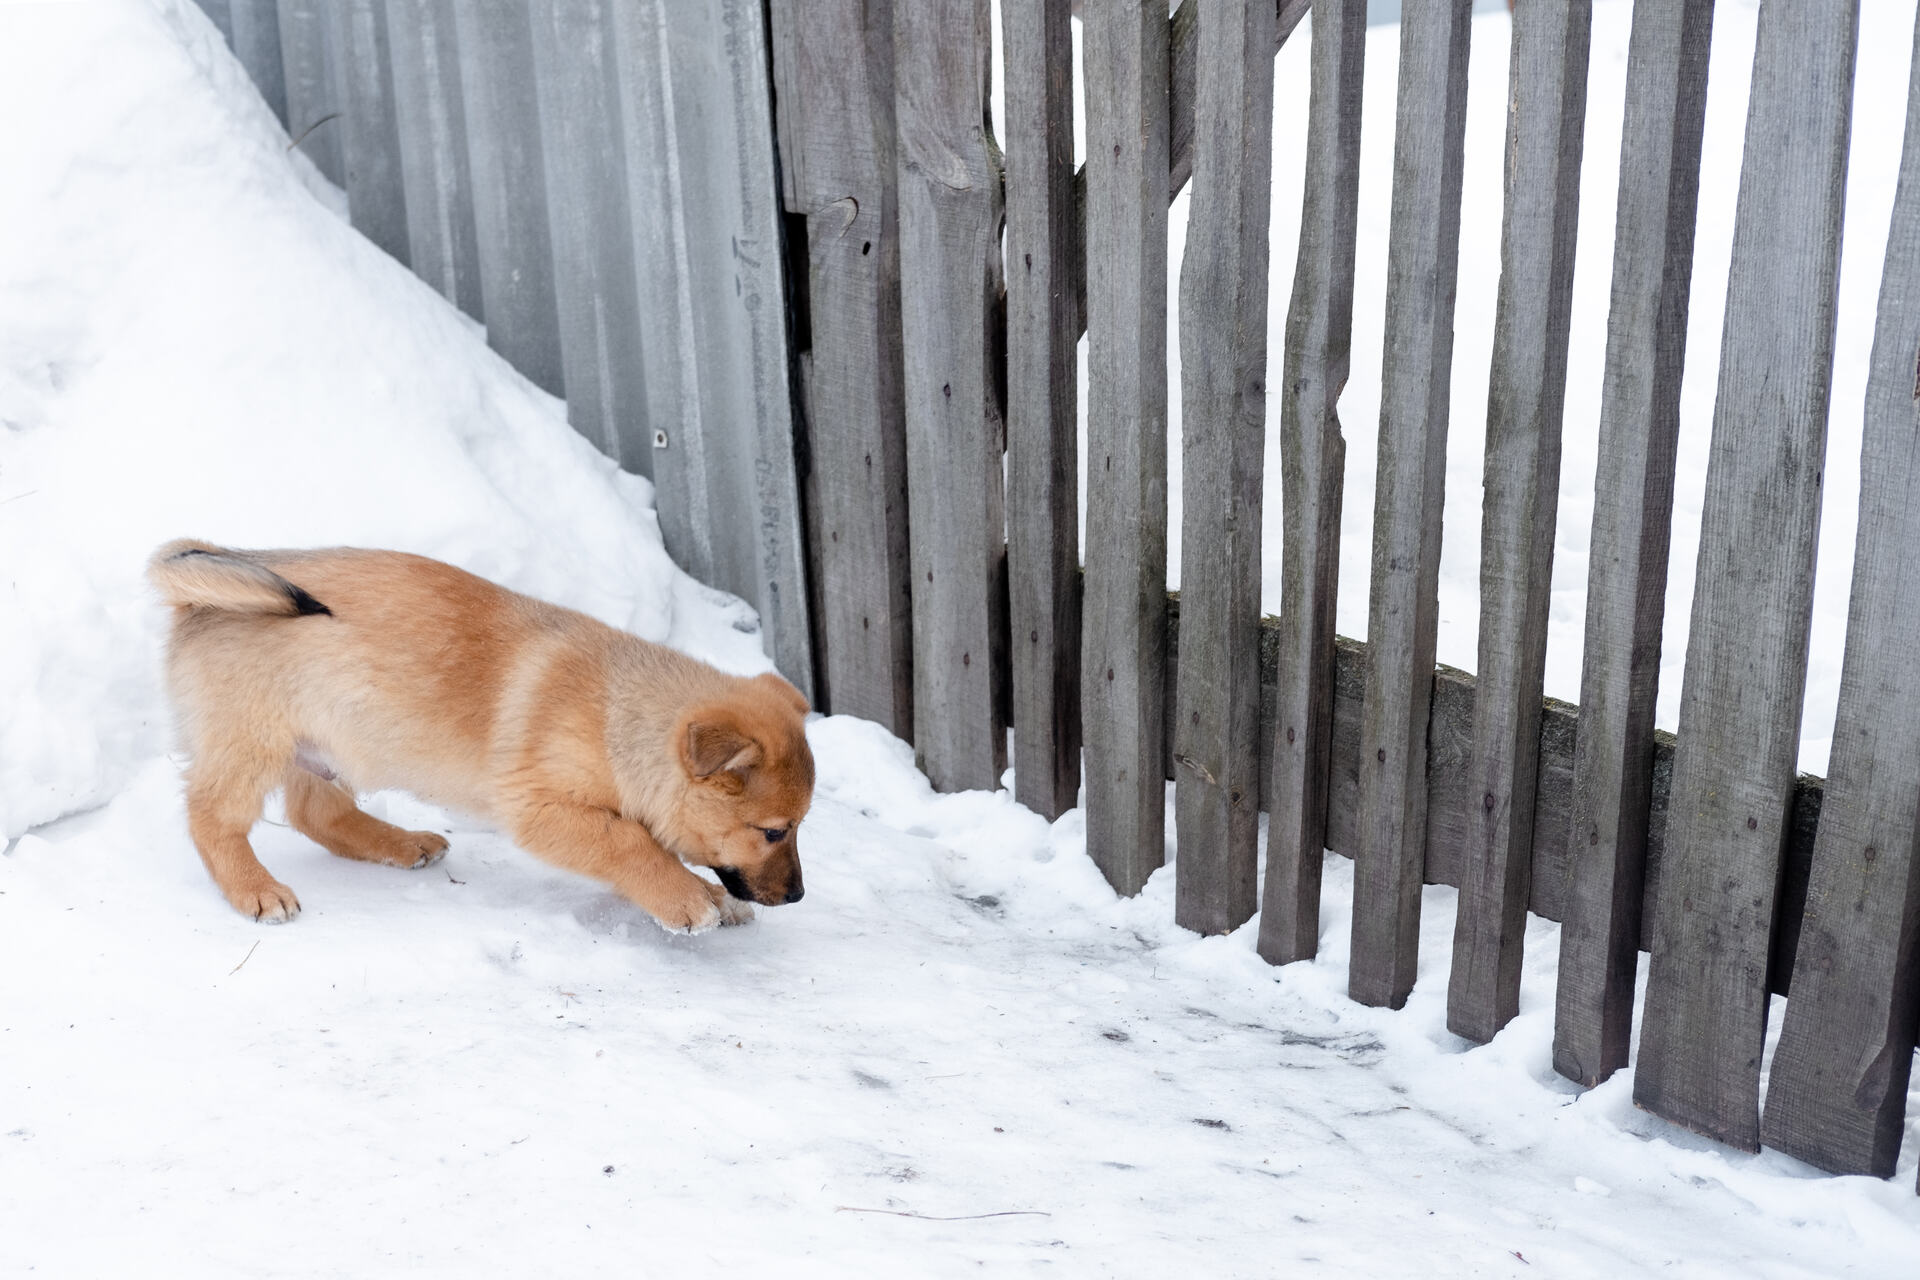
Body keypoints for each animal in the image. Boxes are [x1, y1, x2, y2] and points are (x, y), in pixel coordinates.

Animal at [145, 537, 810, 936]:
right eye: (773, 831)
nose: (798, 897)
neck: (617, 720)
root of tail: (216, 572)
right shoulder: (541, 811)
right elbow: (629, 844)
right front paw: (687, 898)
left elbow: (642, 842)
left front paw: (706, 894)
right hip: (253, 744)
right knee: (212, 817)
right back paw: (255, 890)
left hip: (328, 744)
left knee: (318, 814)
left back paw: (401, 843)